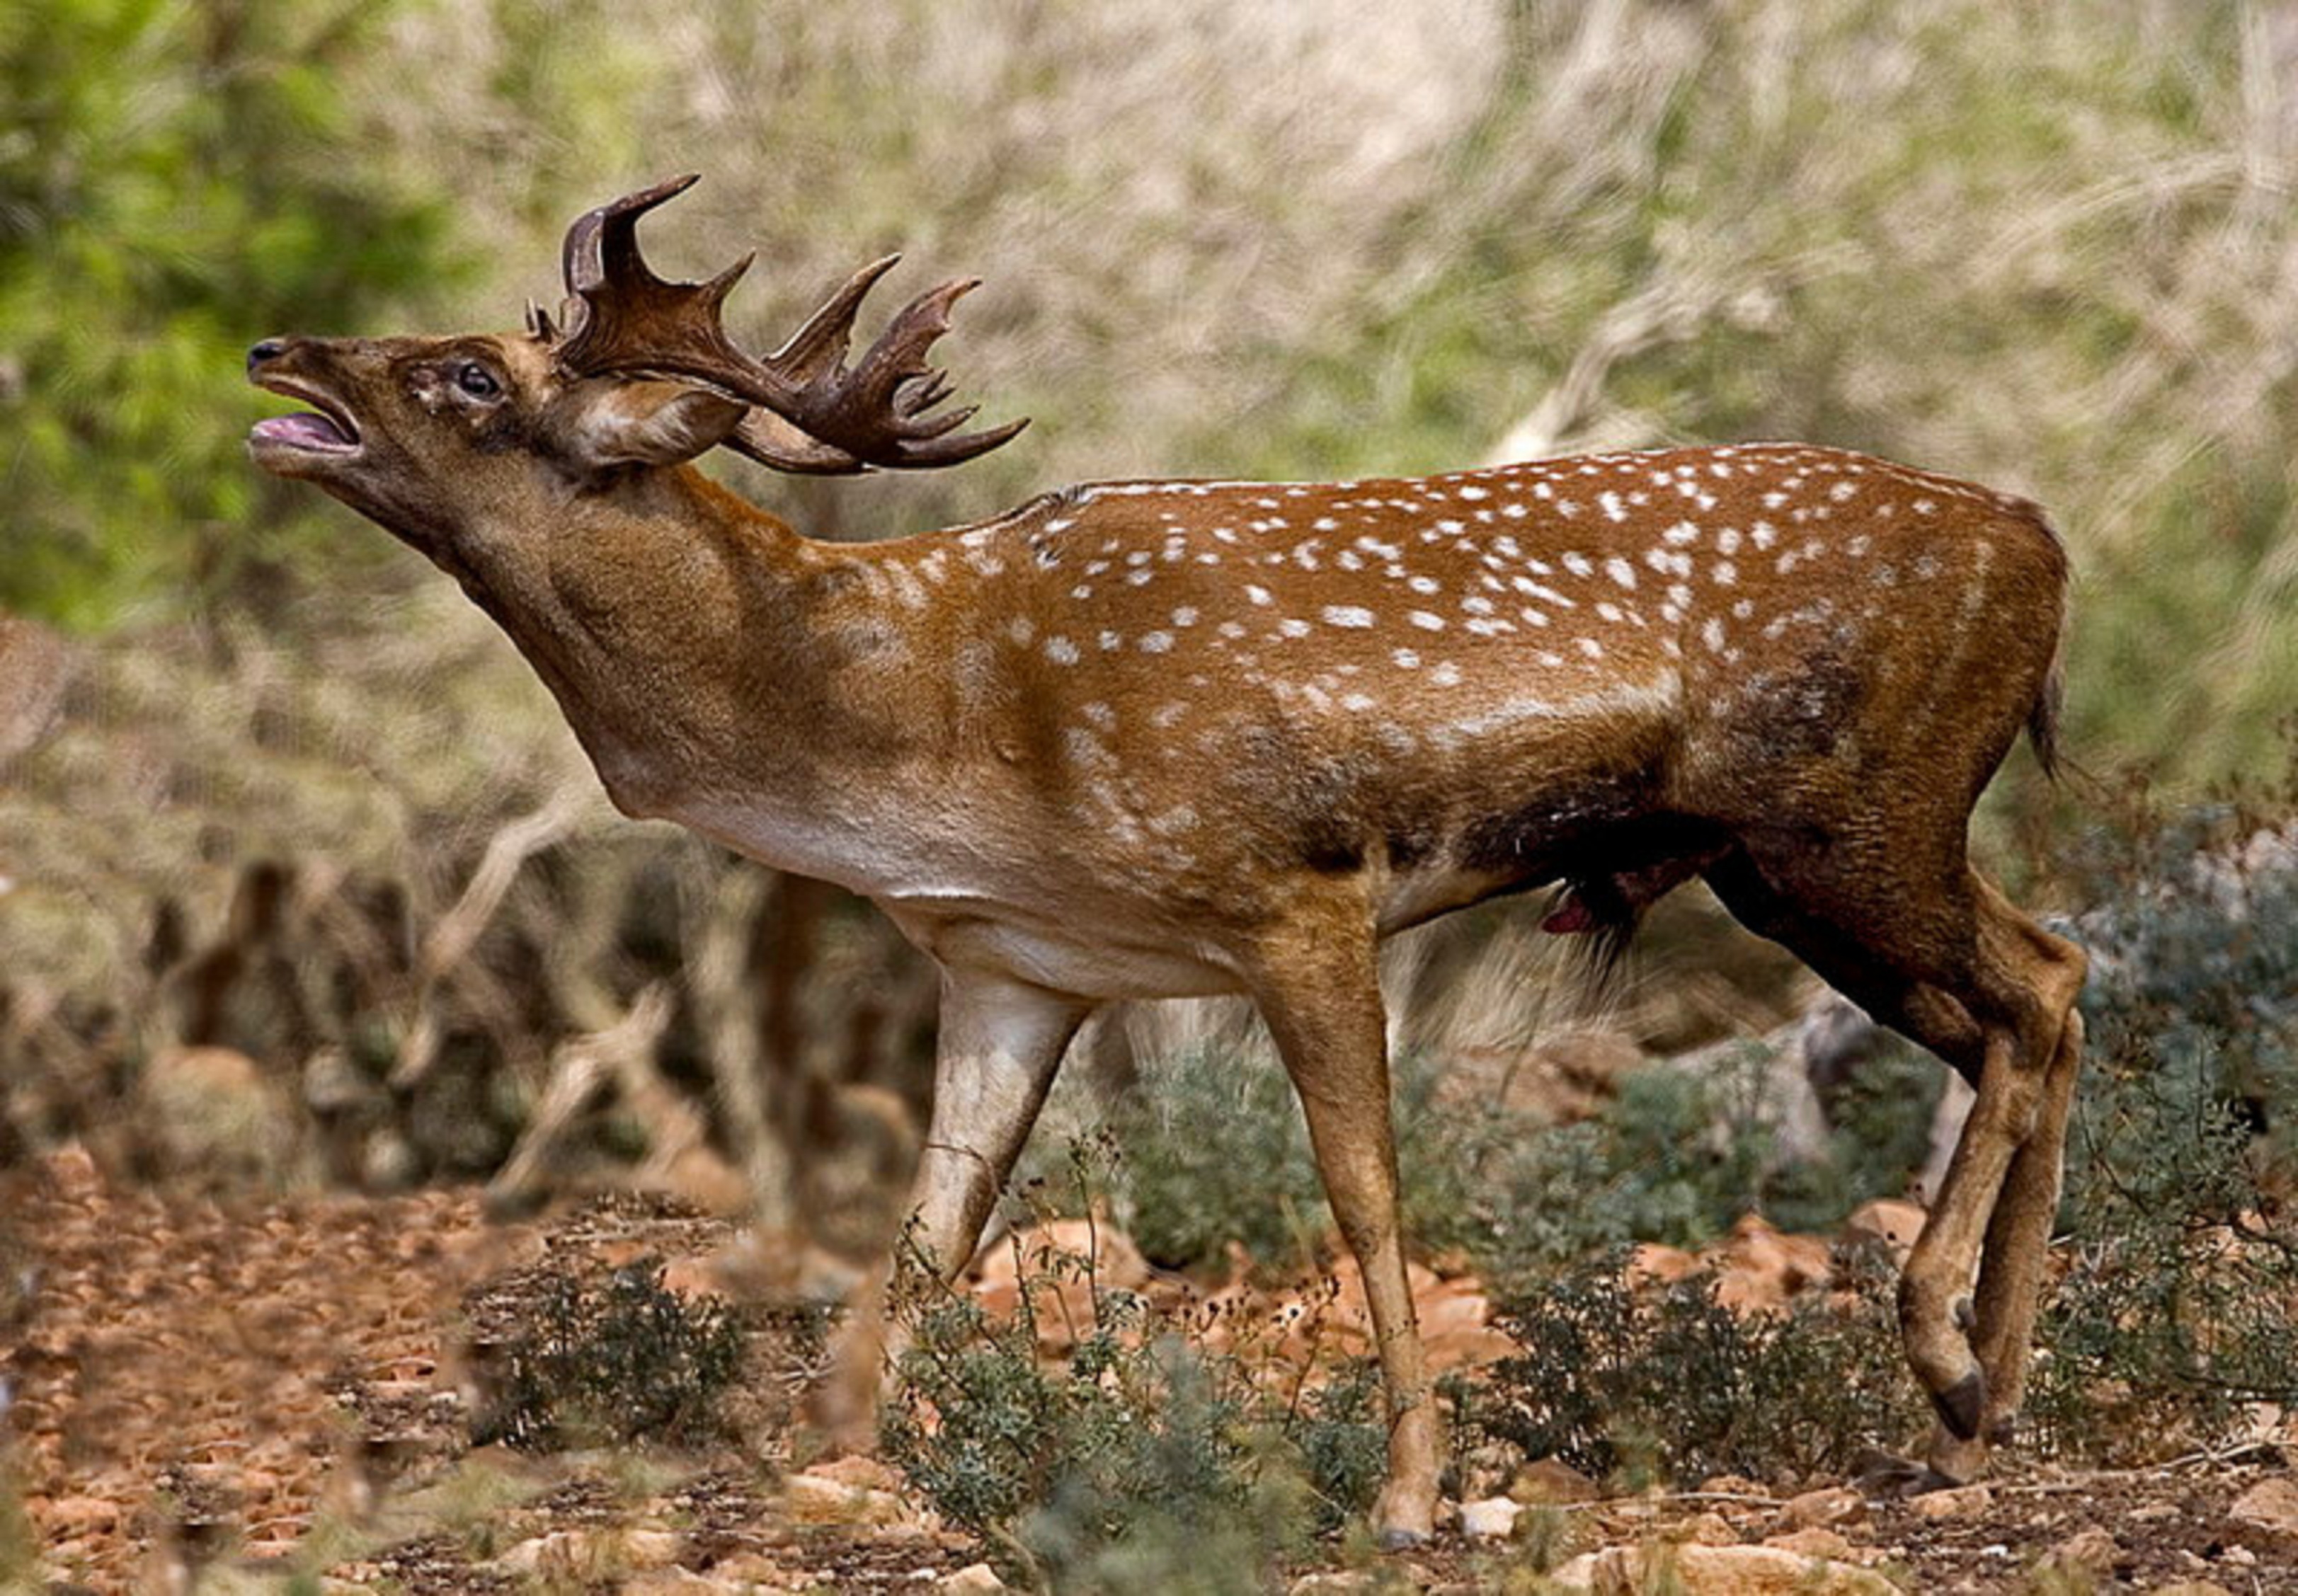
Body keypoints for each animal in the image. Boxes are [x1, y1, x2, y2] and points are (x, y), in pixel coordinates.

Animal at [246, 178, 2086, 1552]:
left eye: (473, 378)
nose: (278, 356)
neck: (925, 727)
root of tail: (2041, 541)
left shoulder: (1296, 891)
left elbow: (1362, 1192)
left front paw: (1412, 1494)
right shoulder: (1013, 964)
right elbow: (929, 1231)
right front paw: (837, 1456)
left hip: (1843, 825)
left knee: (2037, 985)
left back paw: (1947, 1359)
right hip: (1814, 852)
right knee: (2050, 980)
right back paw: (1983, 1403)